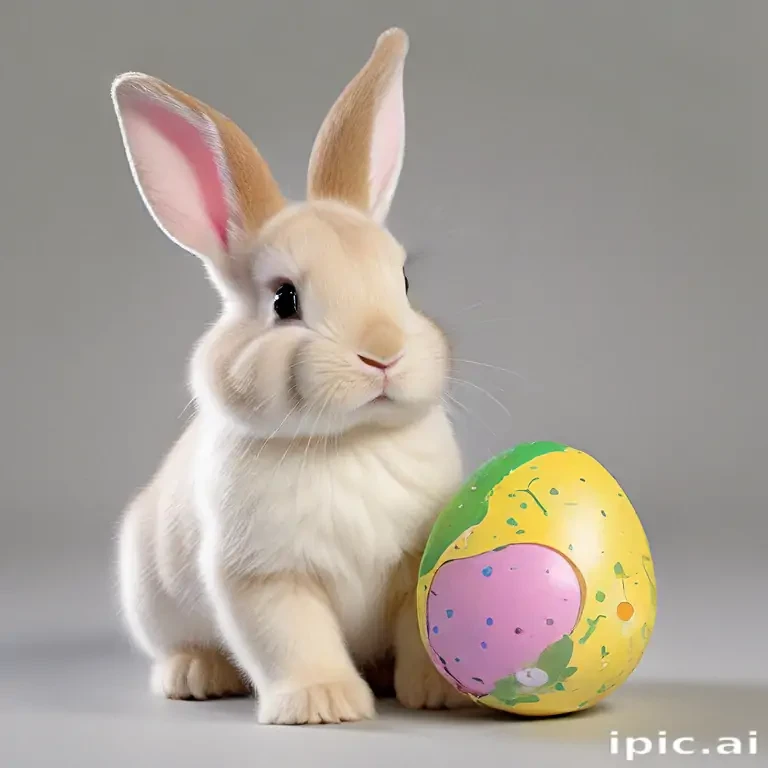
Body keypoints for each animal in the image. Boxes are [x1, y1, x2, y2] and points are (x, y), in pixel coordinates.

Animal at [112, 27, 470, 725]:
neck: (348, 442)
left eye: (403, 282)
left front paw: (437, 693)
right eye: (284, 301)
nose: (383, 353)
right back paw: (195, 675)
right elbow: (292, 639)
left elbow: (421, 632)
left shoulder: (416, 565)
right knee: (180, 648)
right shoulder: (264, 577)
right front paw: (323, 704)